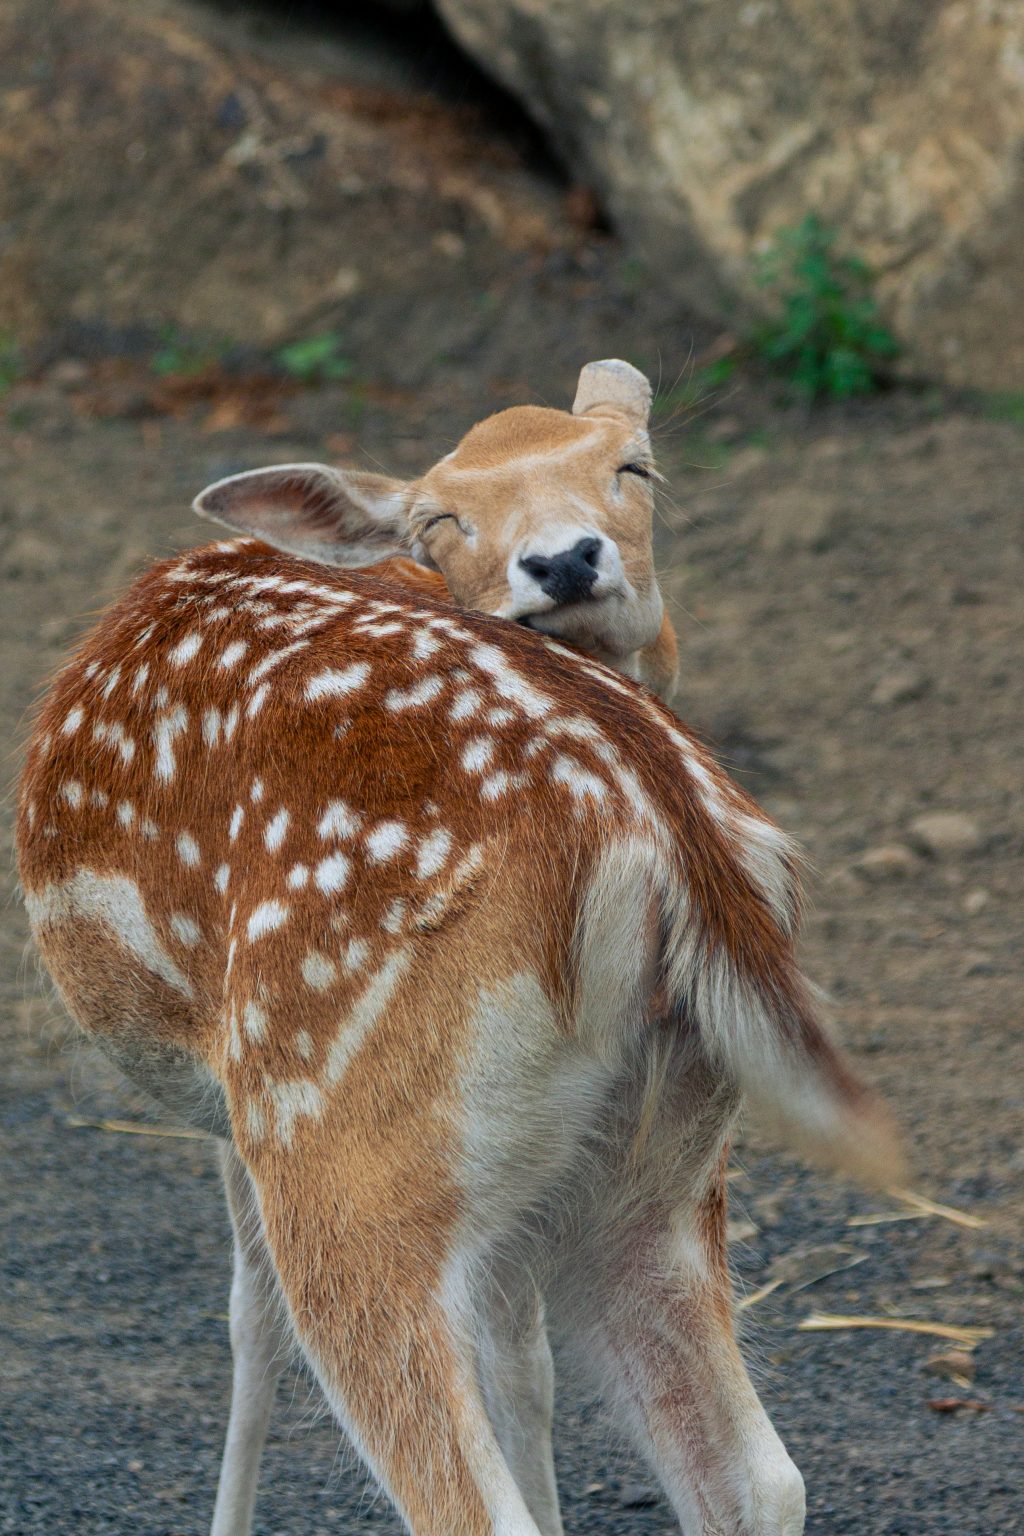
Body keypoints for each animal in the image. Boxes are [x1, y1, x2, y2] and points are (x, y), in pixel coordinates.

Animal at [17, 399, 902, 1536]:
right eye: (441, 517)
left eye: (635, 467)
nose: (568, 563)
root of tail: (662, 826)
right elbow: (523, 1358)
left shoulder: (222, 1092)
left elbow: (249, 1320)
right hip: (661, 1163)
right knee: (758, 1476)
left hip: (329, 1129)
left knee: (452, 1481)